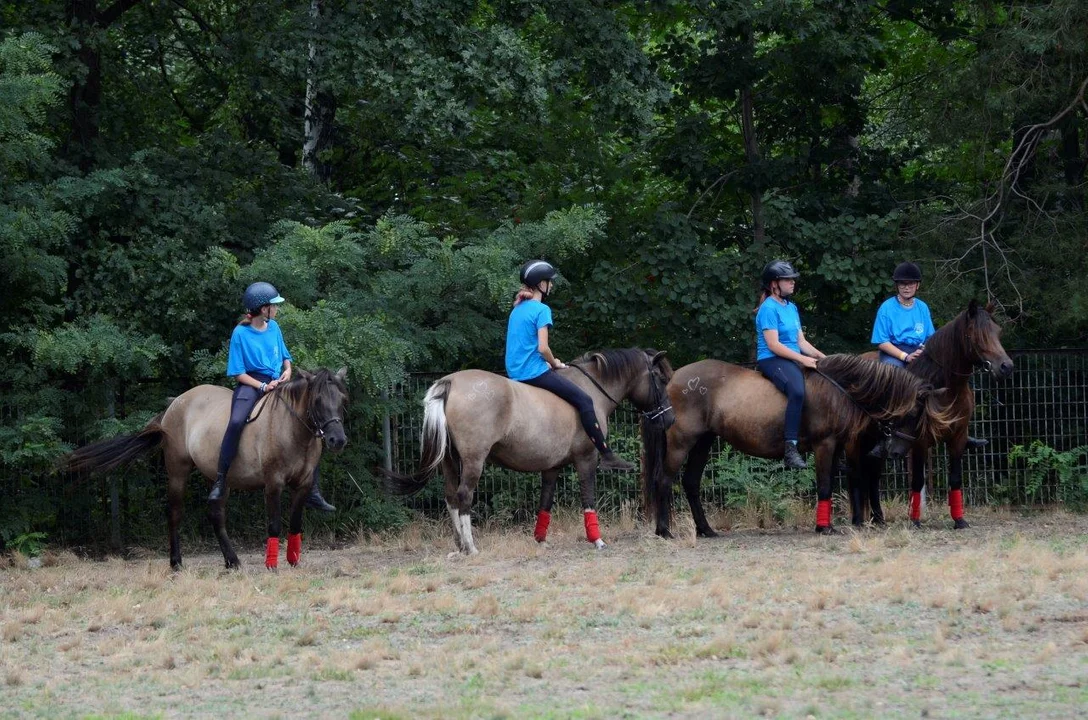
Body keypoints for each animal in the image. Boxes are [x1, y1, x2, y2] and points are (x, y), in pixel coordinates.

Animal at [65, 369, 345, 574]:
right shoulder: (273, 483)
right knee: (175, 513)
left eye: (343, 400)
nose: (337, 440)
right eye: (318, 400)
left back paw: (232, 561)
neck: (292, 429)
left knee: (215, 514)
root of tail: (174, 404)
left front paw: (294, 560)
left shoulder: (303, 484)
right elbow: (274, 523)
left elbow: (296, 522)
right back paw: (176, 563)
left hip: (220, 477)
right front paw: (272, 564)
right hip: (177, 470)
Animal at [644, 352, 953, 539]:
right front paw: (823, 526)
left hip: (703, 442)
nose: (897, 452)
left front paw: (839, 523)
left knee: (690, 482)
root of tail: (673, 380)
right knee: (664, 480)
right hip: (681, 442)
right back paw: (664, 531)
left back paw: (706, 529)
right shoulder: (825, 444)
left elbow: (841, 480)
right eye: (914, 413)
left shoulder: (840, 446)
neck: (839, 390)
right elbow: (825, 484)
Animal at [852, 298, 1014, 530]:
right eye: (977, 334)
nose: (1006, 367)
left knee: (873, 475)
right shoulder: (920, 442)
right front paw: (915, 521)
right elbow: (917, 480)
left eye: (997, 331)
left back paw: (879, 519)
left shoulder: (958, 438)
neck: (945, 390)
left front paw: (959, 520)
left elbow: (955, 479)